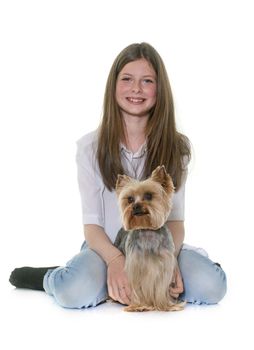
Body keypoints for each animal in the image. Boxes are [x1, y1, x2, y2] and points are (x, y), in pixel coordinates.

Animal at [114, 166, 185, 312]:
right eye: (130, 199)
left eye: (149, 196)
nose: (135, 206)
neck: (147, 230)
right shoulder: (135, 266)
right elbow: (136, 288)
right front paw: (138, 306)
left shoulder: (164, 265)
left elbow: (162, 287)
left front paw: (165, 305)